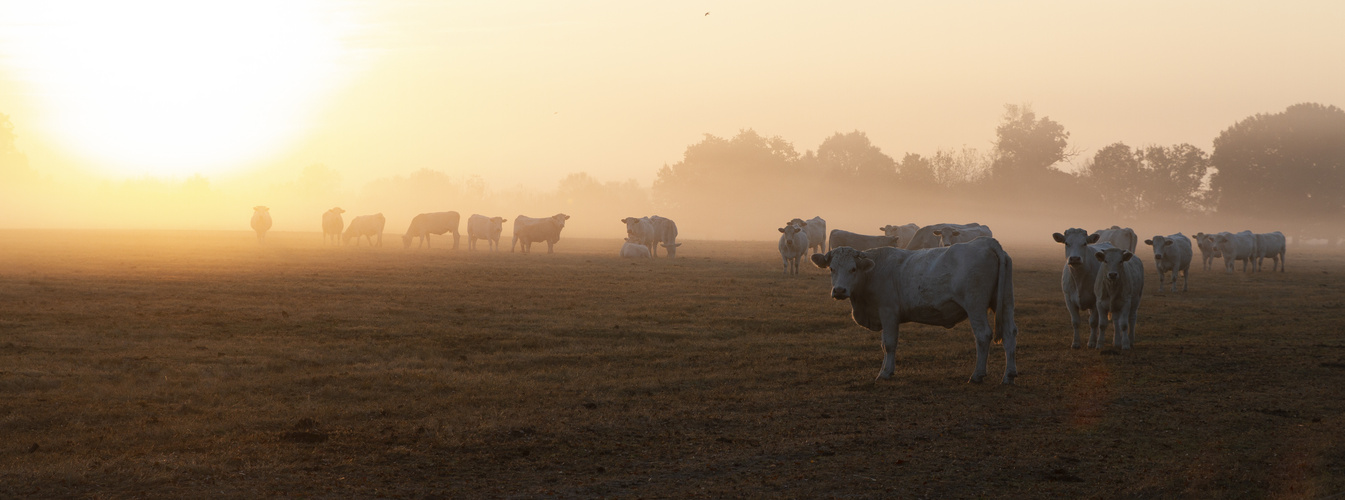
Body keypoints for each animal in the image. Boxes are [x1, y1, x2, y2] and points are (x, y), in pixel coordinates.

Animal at [807, 237, 1016, 381]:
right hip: (1005, 302)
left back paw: (977, 375)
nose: (839, 290)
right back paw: (1009, 375)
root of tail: (986, 242)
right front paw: (885, 370)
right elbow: (884, 344)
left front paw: (885, 373)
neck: (873, 271)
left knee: (983, 335)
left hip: (975, 305)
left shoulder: (888, 312)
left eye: (853, 269)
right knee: (1009, 333)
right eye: (832, 269)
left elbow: (889, 343)